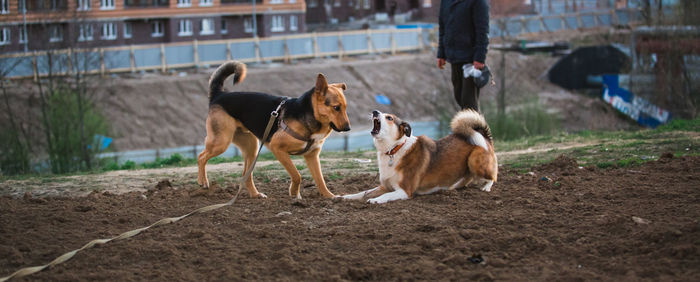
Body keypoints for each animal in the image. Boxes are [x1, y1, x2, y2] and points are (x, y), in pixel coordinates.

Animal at [197, 60, 350, 199]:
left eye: (345, 107)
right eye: (336, 107)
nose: (348, 128)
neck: (310, 113)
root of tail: (219, 95)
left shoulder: (312, 156)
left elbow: (320, 180)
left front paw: (330, 197)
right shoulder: (278, 148)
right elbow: (297, 175)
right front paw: (294, 193)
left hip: (251, 148)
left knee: (246, 175)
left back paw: (255, 195)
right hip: (221, 142)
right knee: (201, 157)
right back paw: (202, 181)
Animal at [340, 109, 498, 204]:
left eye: (389, 117)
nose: (375, 111)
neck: (394, 150)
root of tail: (484, 136)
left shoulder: (405, 191)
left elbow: (385, 196)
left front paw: (376, 200)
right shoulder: (384, 186)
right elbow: (363, 192)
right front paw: (343, 197)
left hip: (474, 161)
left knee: (493, 176)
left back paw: (486, 187)